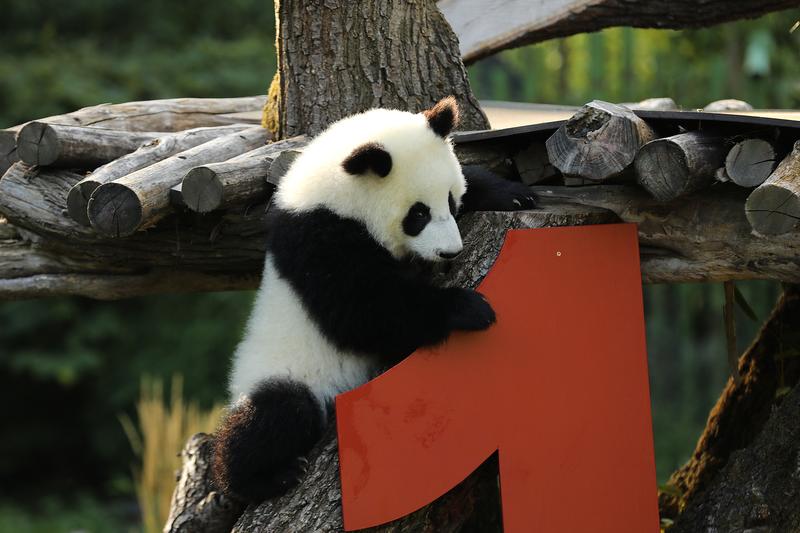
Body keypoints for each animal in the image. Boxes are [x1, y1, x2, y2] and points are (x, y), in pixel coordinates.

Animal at [212, 97, 536, 503]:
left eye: (450, 201)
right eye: (418, 214)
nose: (450, 252)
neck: (336, 195)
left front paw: (513, 193)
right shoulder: (319, 239)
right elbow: (364, 311)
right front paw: (469, 308)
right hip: (285, 371)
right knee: (280, 413)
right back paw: (261, 478)